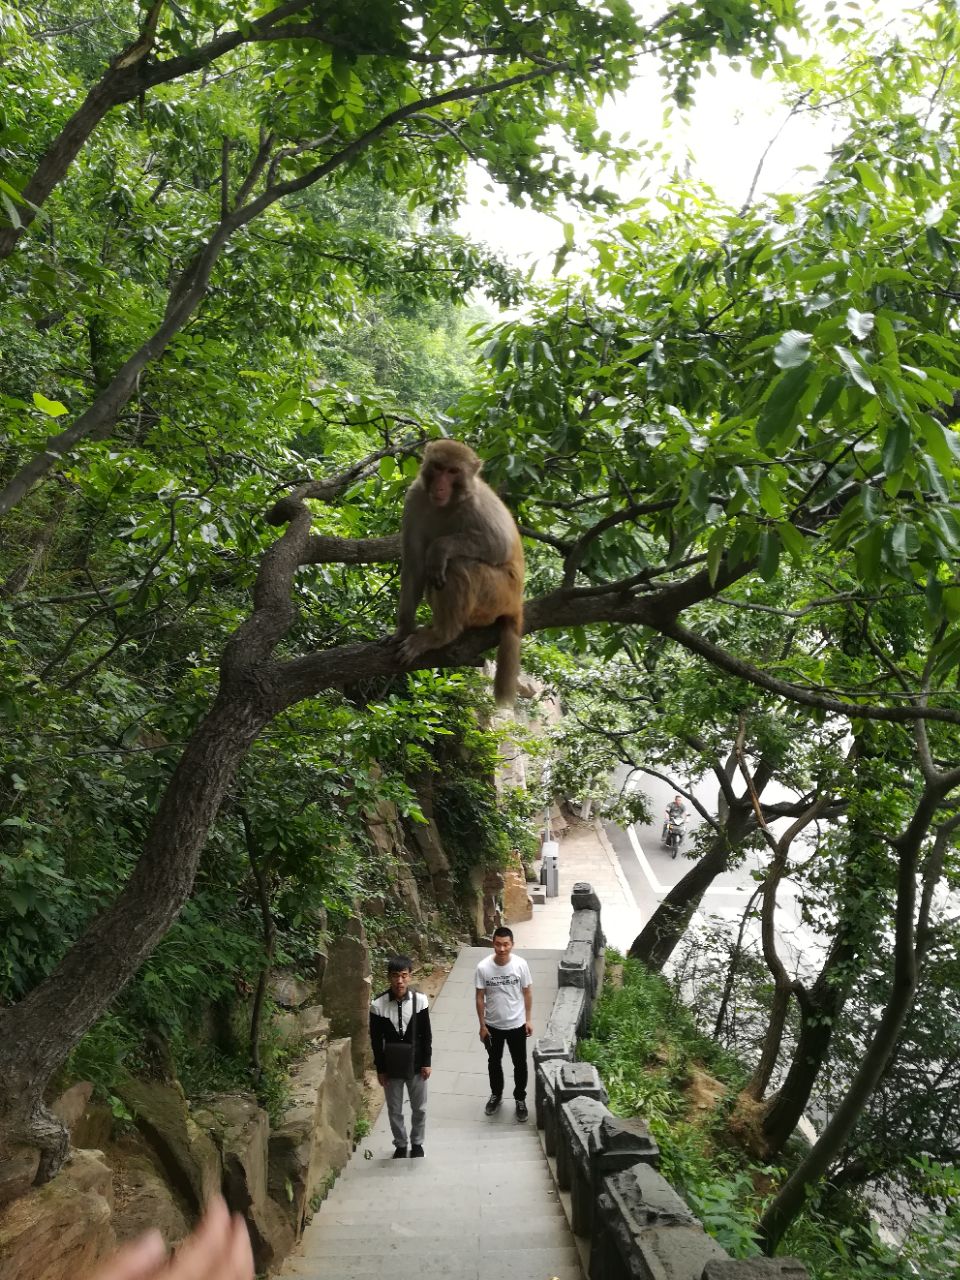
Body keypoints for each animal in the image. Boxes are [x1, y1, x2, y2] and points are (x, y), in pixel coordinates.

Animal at [391, 437, 527, 701]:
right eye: (438, 467)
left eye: (453, 472)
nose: (440, 487)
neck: (448, 503)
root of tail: (516, 602)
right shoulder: (415, 498)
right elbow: (415, 564)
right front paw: (404, 628)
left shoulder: (476, 506)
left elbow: (499, 545)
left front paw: (439, 548)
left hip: (498, 595)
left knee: (457, 564)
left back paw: (443, 633)